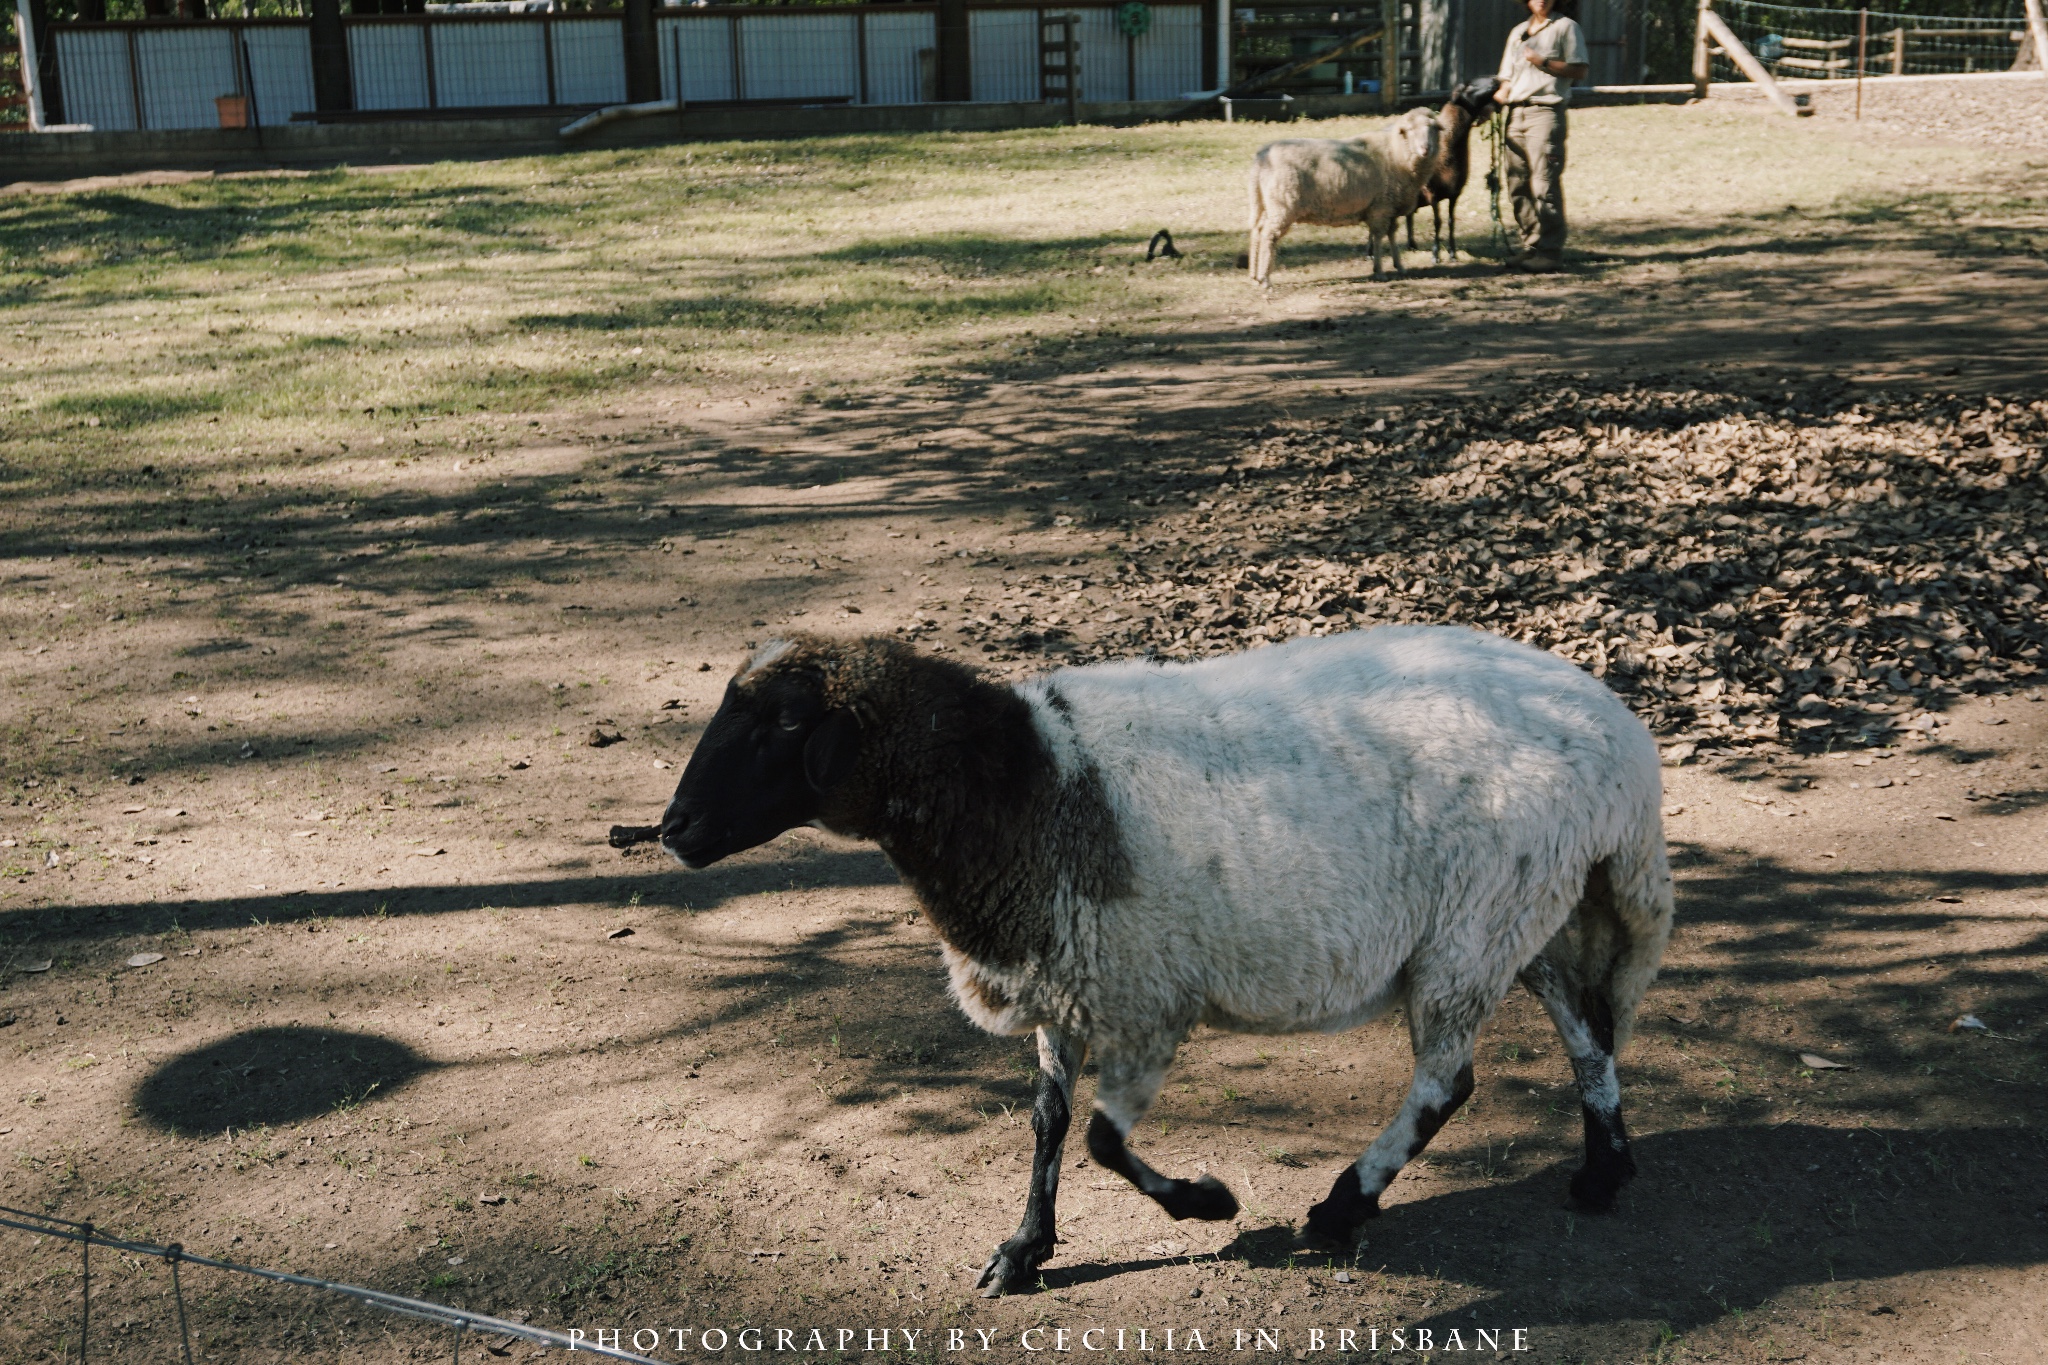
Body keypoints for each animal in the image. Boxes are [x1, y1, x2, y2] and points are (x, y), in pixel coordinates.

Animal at [663, 626, 1671, 1301]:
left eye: (785, 722)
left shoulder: (1146, 996)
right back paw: (1604, 1171)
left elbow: (1103, 1141)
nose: (673, 829)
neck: (1026, 784)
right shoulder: (1063, 983)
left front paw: (1207, 1203)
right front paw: (1022, 1251)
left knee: (1447, 1083)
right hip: (1521, 916)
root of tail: (1625, 742)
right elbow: (1048, 1121)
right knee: (1589, 1029)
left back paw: (1343, 1206)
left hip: (1476, 927)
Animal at [1245, 107, 1441, 288]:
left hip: (1266, 203)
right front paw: (1379, 271)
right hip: (1282, 205)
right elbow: (1378, 237)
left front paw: (1399, 266)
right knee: (1268, 235)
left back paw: (1254, 276)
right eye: (1410, 130)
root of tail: (1262, 155)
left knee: (1257, 231)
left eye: (1433, 128)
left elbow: (1391, 235)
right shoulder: (1381, 207)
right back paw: (1265, 279)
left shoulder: (1391, 208)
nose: (1426, 149)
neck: (1396, 151)